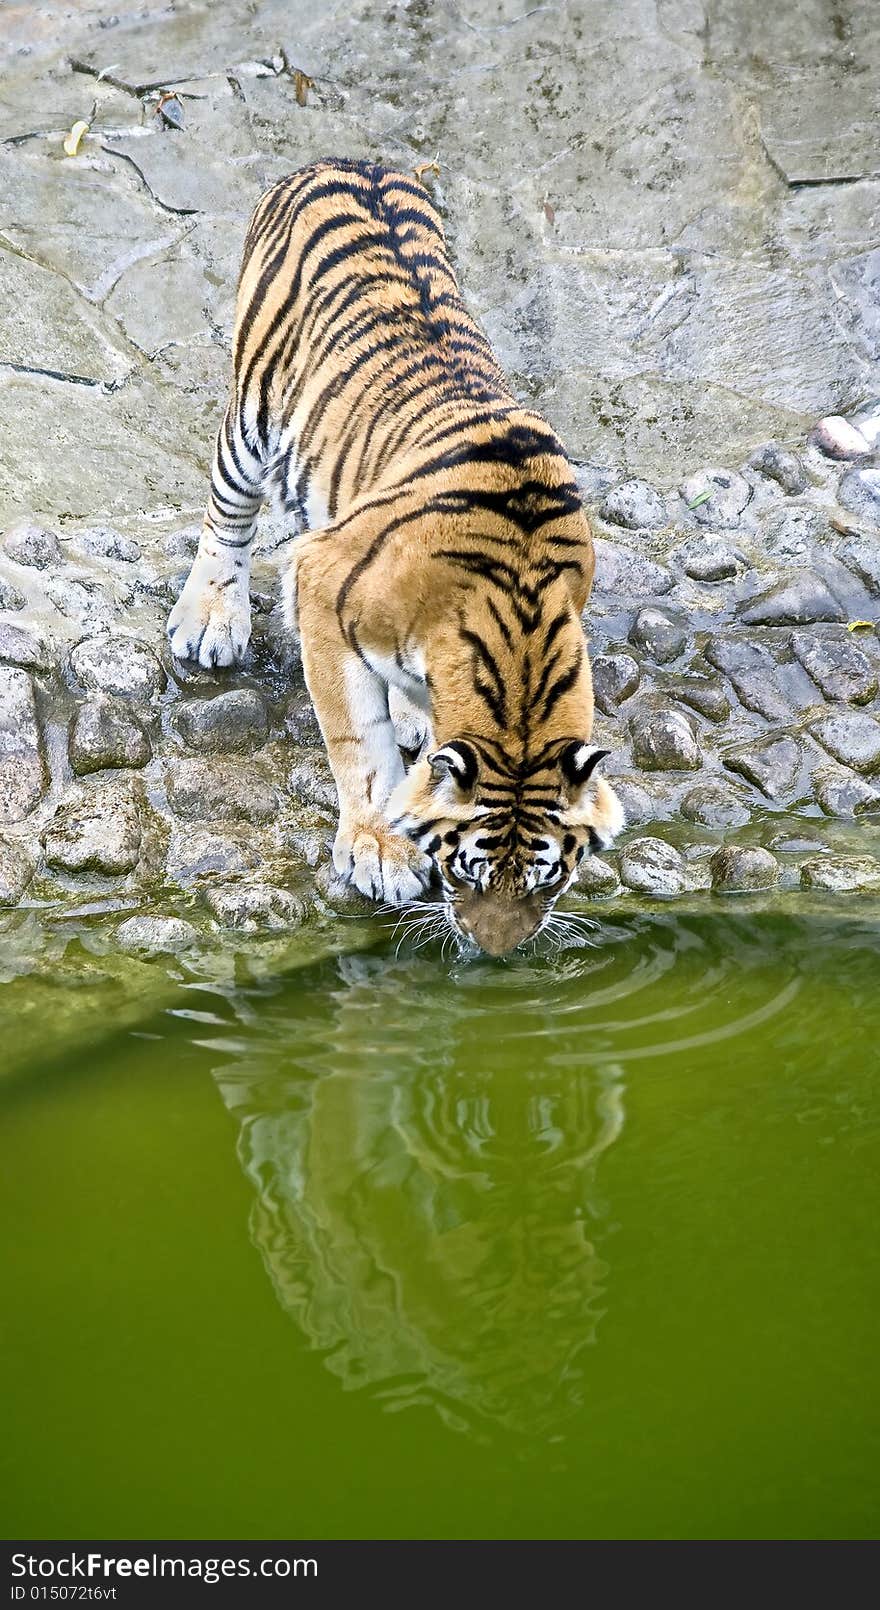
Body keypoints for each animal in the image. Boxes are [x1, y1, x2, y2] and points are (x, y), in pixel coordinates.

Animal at [168, 160, 624, 953]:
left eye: (548, 879)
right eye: (469, 869)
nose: (496, 952)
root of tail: (347, 162)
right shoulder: (323, 583)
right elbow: (359, 742)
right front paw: (380, 848)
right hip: (254, 413)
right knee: (228, 513)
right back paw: (210, 619)